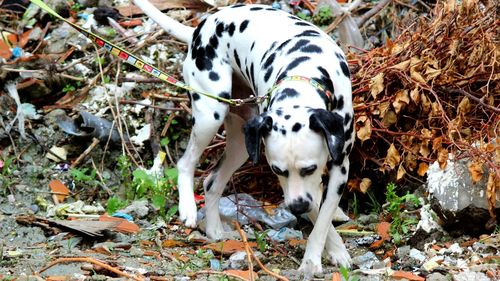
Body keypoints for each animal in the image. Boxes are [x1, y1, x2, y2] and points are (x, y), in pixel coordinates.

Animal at [133, 0, 352, 276]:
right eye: (277, 170)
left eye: (310, 168)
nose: (297, 208)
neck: (306, 71)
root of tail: (200, 28)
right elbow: (318, 216)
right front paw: (316, 259)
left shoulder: (339, 167)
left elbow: (322, 219)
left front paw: (330, 253)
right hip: (209, 115)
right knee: (185, 163)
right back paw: (188, 209)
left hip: (243, 145)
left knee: (211, 183)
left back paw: (214, 229)